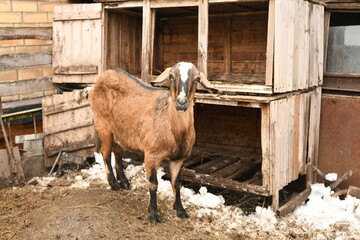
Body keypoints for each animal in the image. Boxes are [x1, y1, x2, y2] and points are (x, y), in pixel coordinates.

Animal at [88, 62, 214, 223]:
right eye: (171, 76)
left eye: (197, 79)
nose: (181, 102)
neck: (173, 131)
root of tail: (104, 75)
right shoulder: (151, 155)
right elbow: (153, 183)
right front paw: (153, 214)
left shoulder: (178, 159)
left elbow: (176, 183)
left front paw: (180, 210)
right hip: (103, 125)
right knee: (105, 153)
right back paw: (114, 183)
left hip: (120, 131)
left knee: (118, 152)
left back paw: (125, 181)